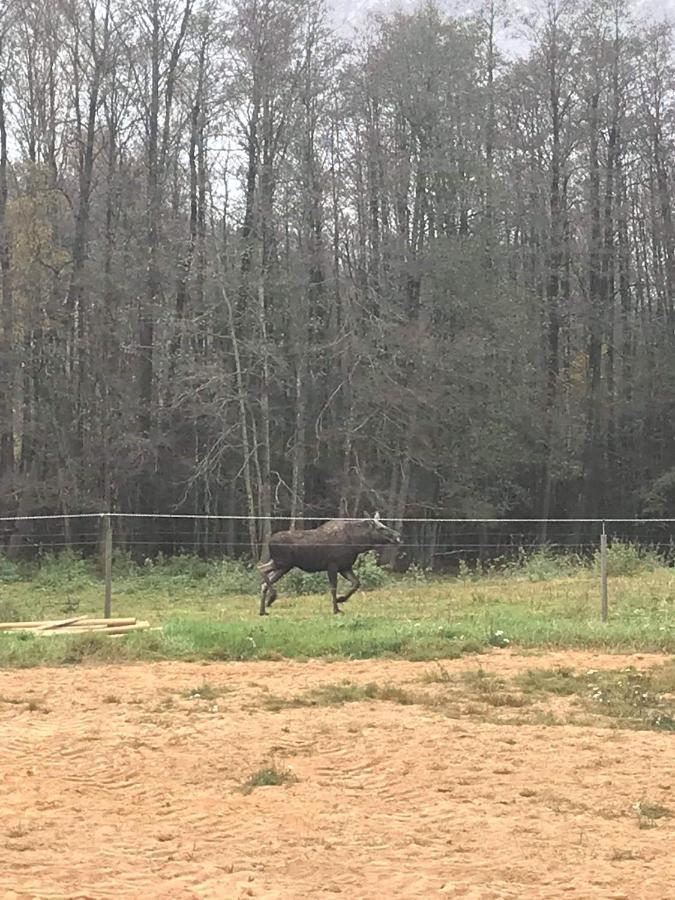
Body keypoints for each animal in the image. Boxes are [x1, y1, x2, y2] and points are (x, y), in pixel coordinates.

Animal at [258, 512, 402, 620]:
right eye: (380, 528)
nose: (398, 536)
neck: (357, 544)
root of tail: (269, 542)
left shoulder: (345, 567)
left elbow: (356, 583)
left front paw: (341, 599)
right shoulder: (332, 565)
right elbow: (333, 588)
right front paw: (336, 608)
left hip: (283, 566)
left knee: (264, 579)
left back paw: (263, 610)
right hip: (282, 563)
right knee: (261, 569)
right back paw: (272, 597)